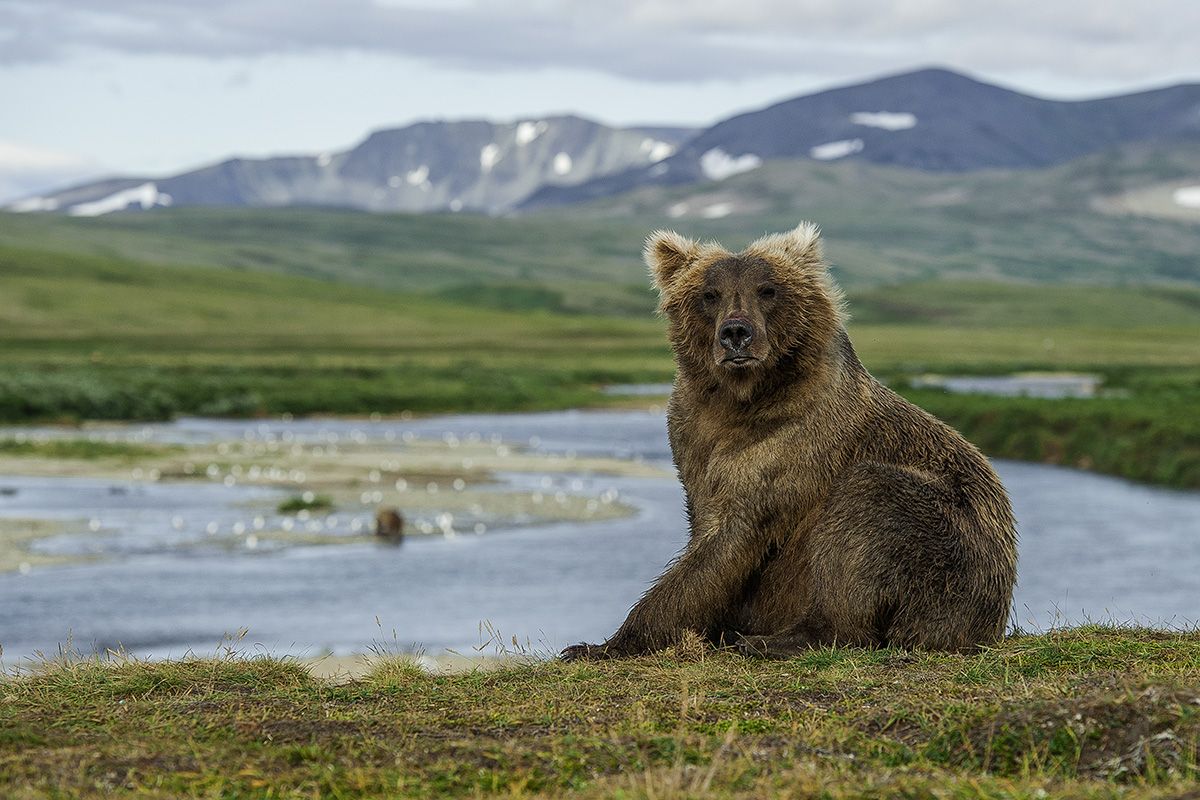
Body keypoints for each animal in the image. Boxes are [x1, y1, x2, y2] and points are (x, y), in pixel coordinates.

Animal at [561, 221, 1012, 662]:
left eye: (768, 290)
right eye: (710, 294)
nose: (736, 333)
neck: (742, 401)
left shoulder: (791, 443)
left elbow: (728, 540)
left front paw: (599, 645)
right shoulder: (692, 436)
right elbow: (705, 526)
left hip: (950, 550)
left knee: (865, 516)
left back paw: (771, 639)